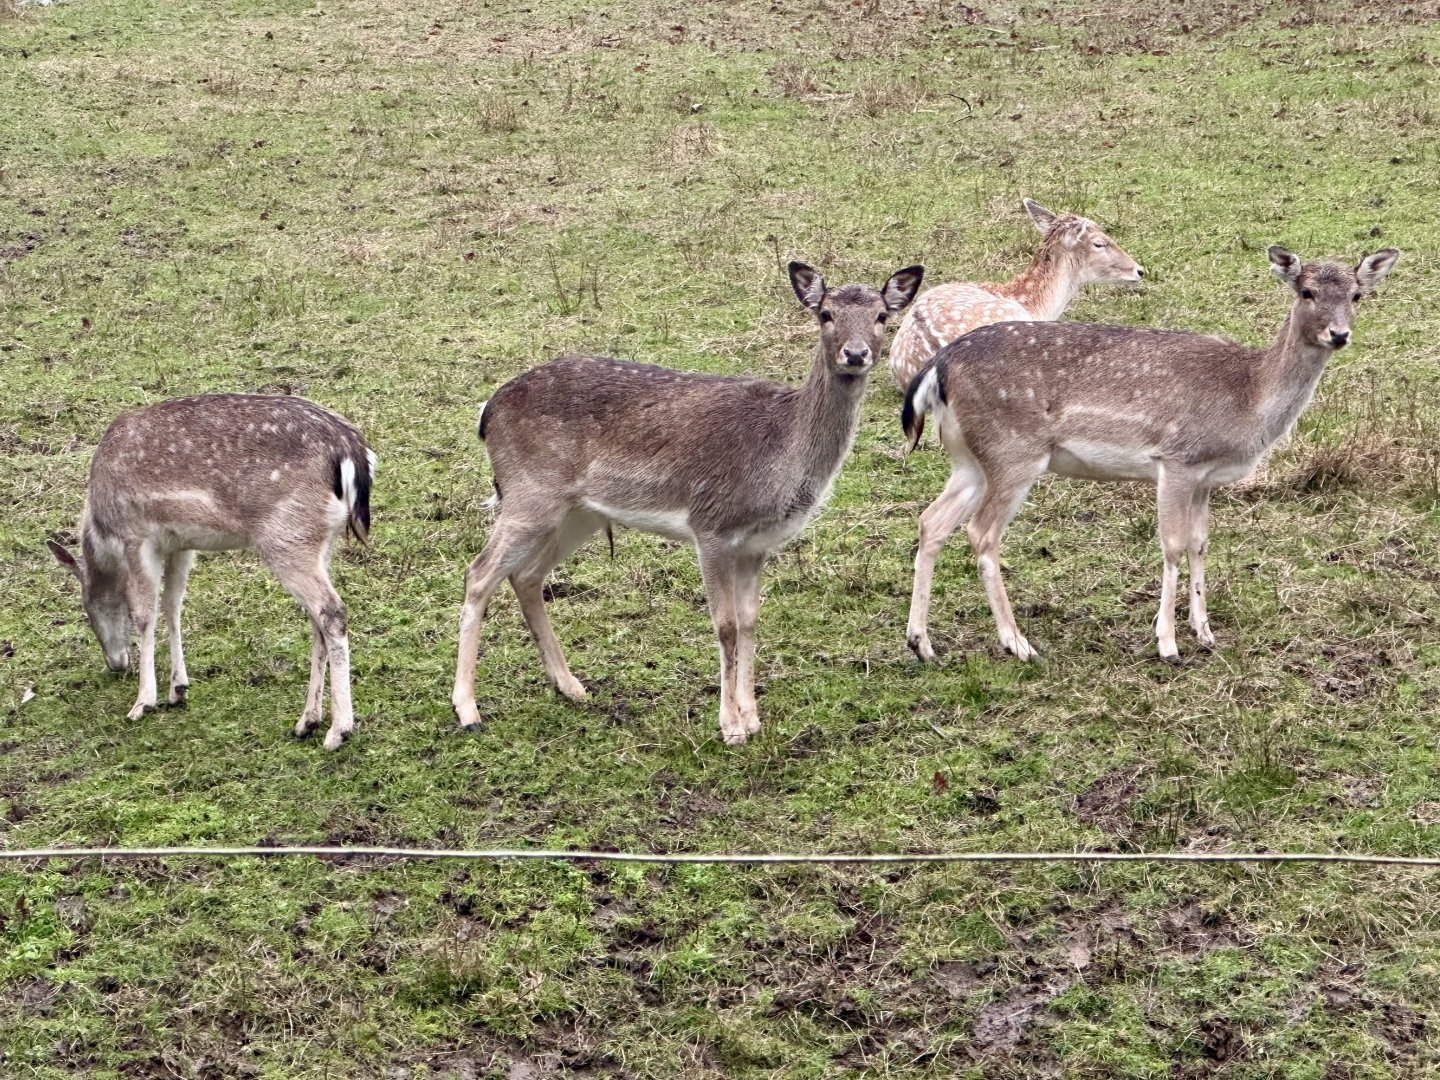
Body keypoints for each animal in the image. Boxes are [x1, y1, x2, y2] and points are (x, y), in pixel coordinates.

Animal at [47, 394, 376, 751]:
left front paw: (143, 702)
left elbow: (145, 614)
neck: (104, 531)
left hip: (287, 537)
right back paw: (307, 721)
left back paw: (338, 730)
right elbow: (173, 605)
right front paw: (177, 689)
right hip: (321, 542)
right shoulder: (180, 545)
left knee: (332, 611)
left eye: (87, 608)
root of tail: (354, 453)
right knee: (317, 619)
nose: (116, 664)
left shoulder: (137, 538)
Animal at [452, 260, 924, 745]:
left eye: (882, 316)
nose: (855, 353)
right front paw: (730, 726)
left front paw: (753, 717)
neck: (781, 455)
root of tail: (487, 410)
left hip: (576, 513)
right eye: (826, 314)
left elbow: (750, 620)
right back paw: (468, 710)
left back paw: (571, 686)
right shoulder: (711, 525)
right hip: (529, 493)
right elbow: (725, 625)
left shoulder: (757, 544)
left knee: (526, 575)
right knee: (479, 573)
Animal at [900, 245, 1399, 664]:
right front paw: (1168, 644)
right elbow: (1173, 545)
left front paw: (1206, 633)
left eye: (1357, 294)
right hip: (1013, 452)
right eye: (1306, 290)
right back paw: (1018, 643)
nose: (1339, 334)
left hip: (969, 458)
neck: (1247, 399)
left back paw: (922, 643)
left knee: (932, 521)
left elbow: (1200, 542)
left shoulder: (1205, 477)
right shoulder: (1178, 459)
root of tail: (936, 368)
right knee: (981, 533)